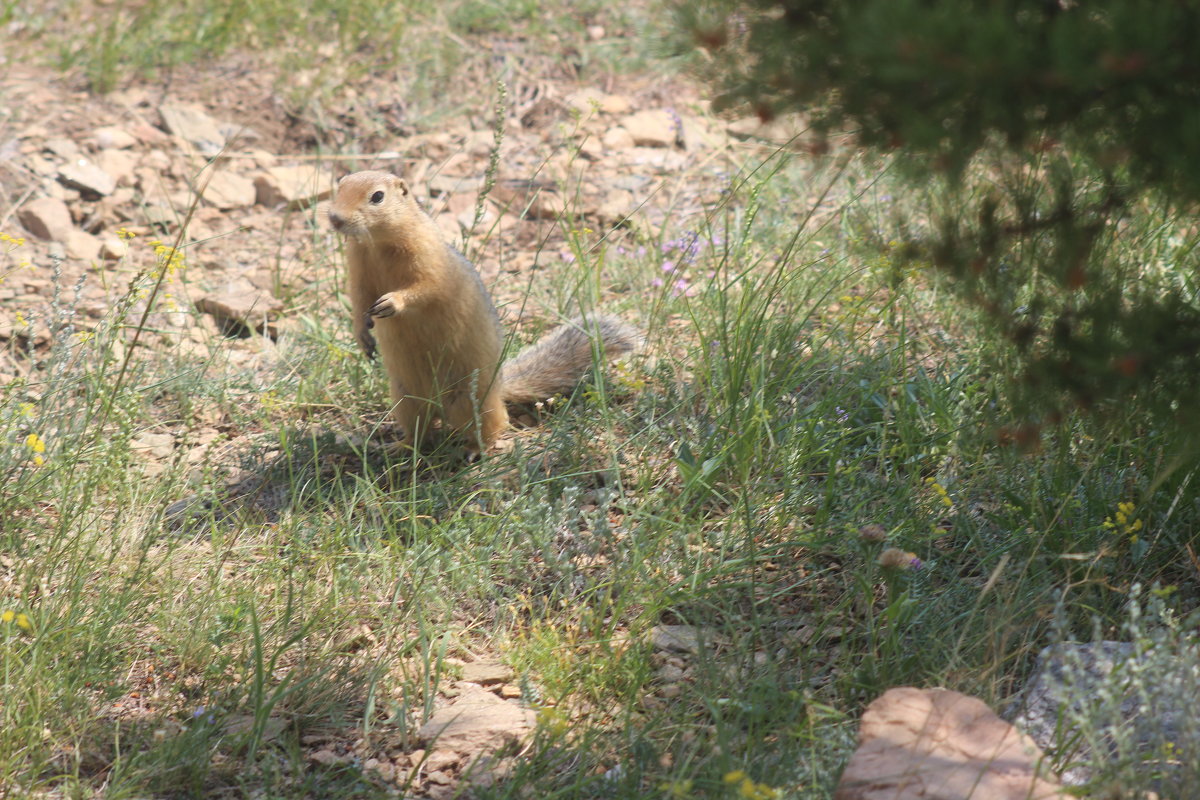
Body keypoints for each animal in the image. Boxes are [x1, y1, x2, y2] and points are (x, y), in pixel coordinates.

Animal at [324, 170, 633, 453]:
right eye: (339, 186)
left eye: (377, 196)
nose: (335, 218)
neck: (378, 243)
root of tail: (500, 385)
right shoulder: (358, 270)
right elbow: (359, 301)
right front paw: (362, 336)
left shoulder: (429, 259)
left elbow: (425, 287)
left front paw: (392, 302)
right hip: (405, 401)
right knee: (420, 432)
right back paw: (398, 446)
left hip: (469, 402)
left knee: (494, 424)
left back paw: (478, 450)